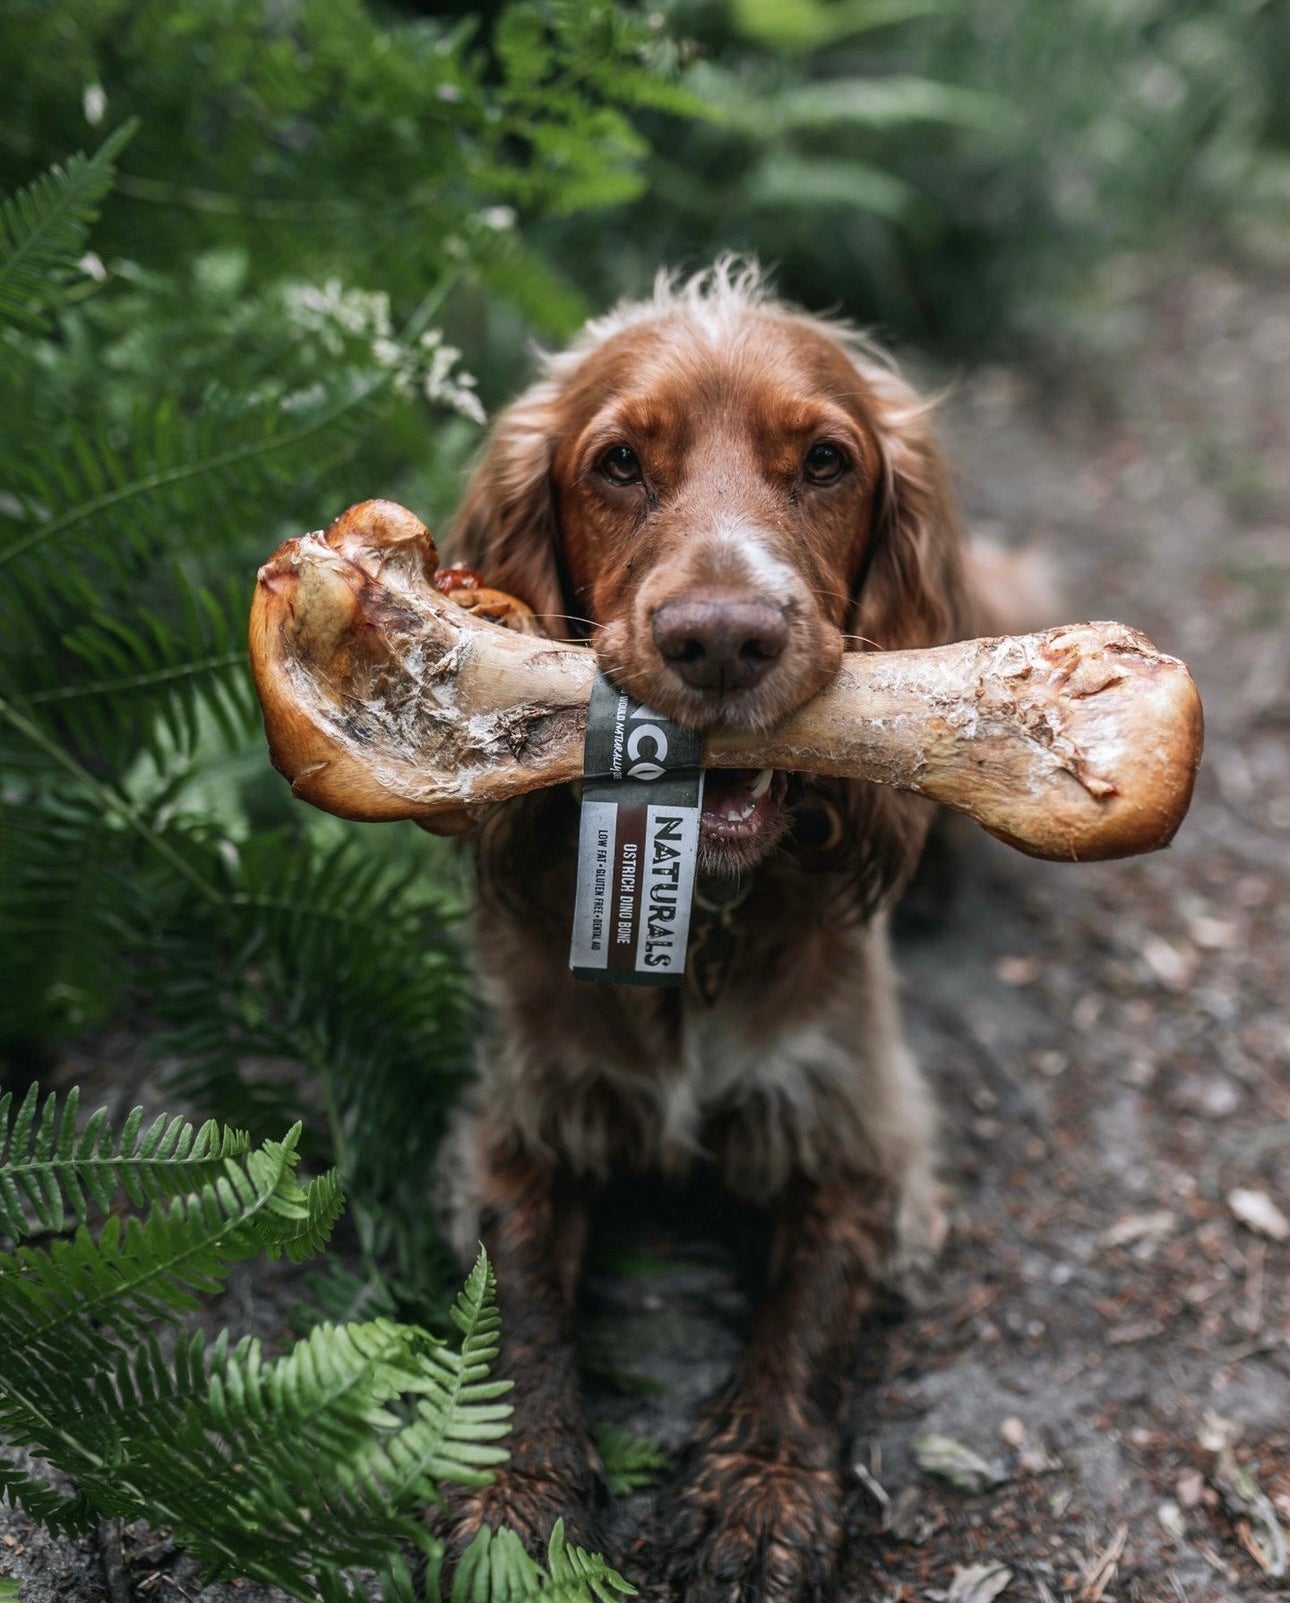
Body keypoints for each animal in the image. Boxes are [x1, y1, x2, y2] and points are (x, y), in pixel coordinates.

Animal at [439, 262, 999, 1603]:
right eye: (618, 463)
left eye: (828, 461)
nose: (723, 637)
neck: (698, 921)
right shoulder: (516, 1116)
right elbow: (515, 1296)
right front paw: (520, 1495)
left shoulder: (863, 1131)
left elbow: (812, 1306)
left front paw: (760, 1492)